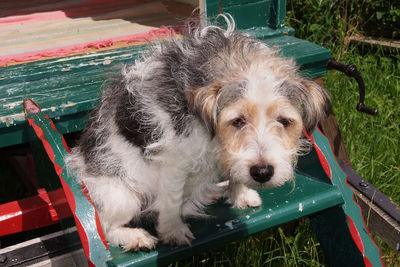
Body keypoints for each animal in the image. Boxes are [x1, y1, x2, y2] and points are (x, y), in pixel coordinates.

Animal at [65, 16, 328, 251]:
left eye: (284, 121)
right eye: (237, 121)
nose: (262, 173)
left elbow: (234, 172)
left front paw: (241, 194)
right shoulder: (174, 160)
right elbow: (171, 200)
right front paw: (173, 231)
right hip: (123, 197)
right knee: (106, 228)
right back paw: (134, 237)